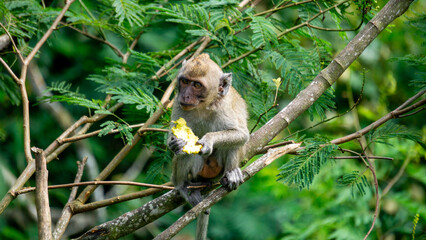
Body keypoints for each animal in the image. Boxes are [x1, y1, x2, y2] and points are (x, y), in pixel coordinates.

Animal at [167, 53, 250, 239]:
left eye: (197, 85)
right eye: (185, 82)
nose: (185, 96)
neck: (203, 106)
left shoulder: (224, 108)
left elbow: (241, 134)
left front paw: (208, 140)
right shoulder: (177, 103)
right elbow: (171, 140)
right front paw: (178, 143)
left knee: (233, 145)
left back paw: (231, 174)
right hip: (197, 172)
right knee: (186, 154)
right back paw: (181, 184)